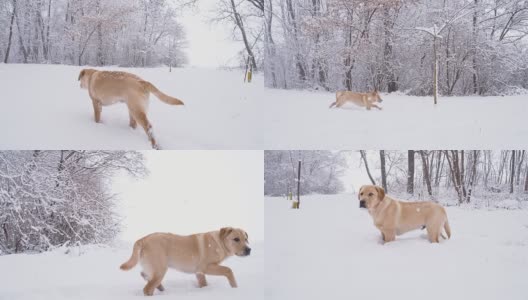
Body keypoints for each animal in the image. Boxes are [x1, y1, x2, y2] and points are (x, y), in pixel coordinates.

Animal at [120, 227, 252, 296]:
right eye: (236, 239)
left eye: (246, 239)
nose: (249, 249)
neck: (219, 242)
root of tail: (143, 239)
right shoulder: (206, 267)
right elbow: (228, 270)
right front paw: (235, 288)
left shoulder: (199, 272)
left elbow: (203, 283)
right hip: (160, 269)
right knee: (147, 288)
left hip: (154, 269)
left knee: (144, 275)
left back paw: (161, 287)